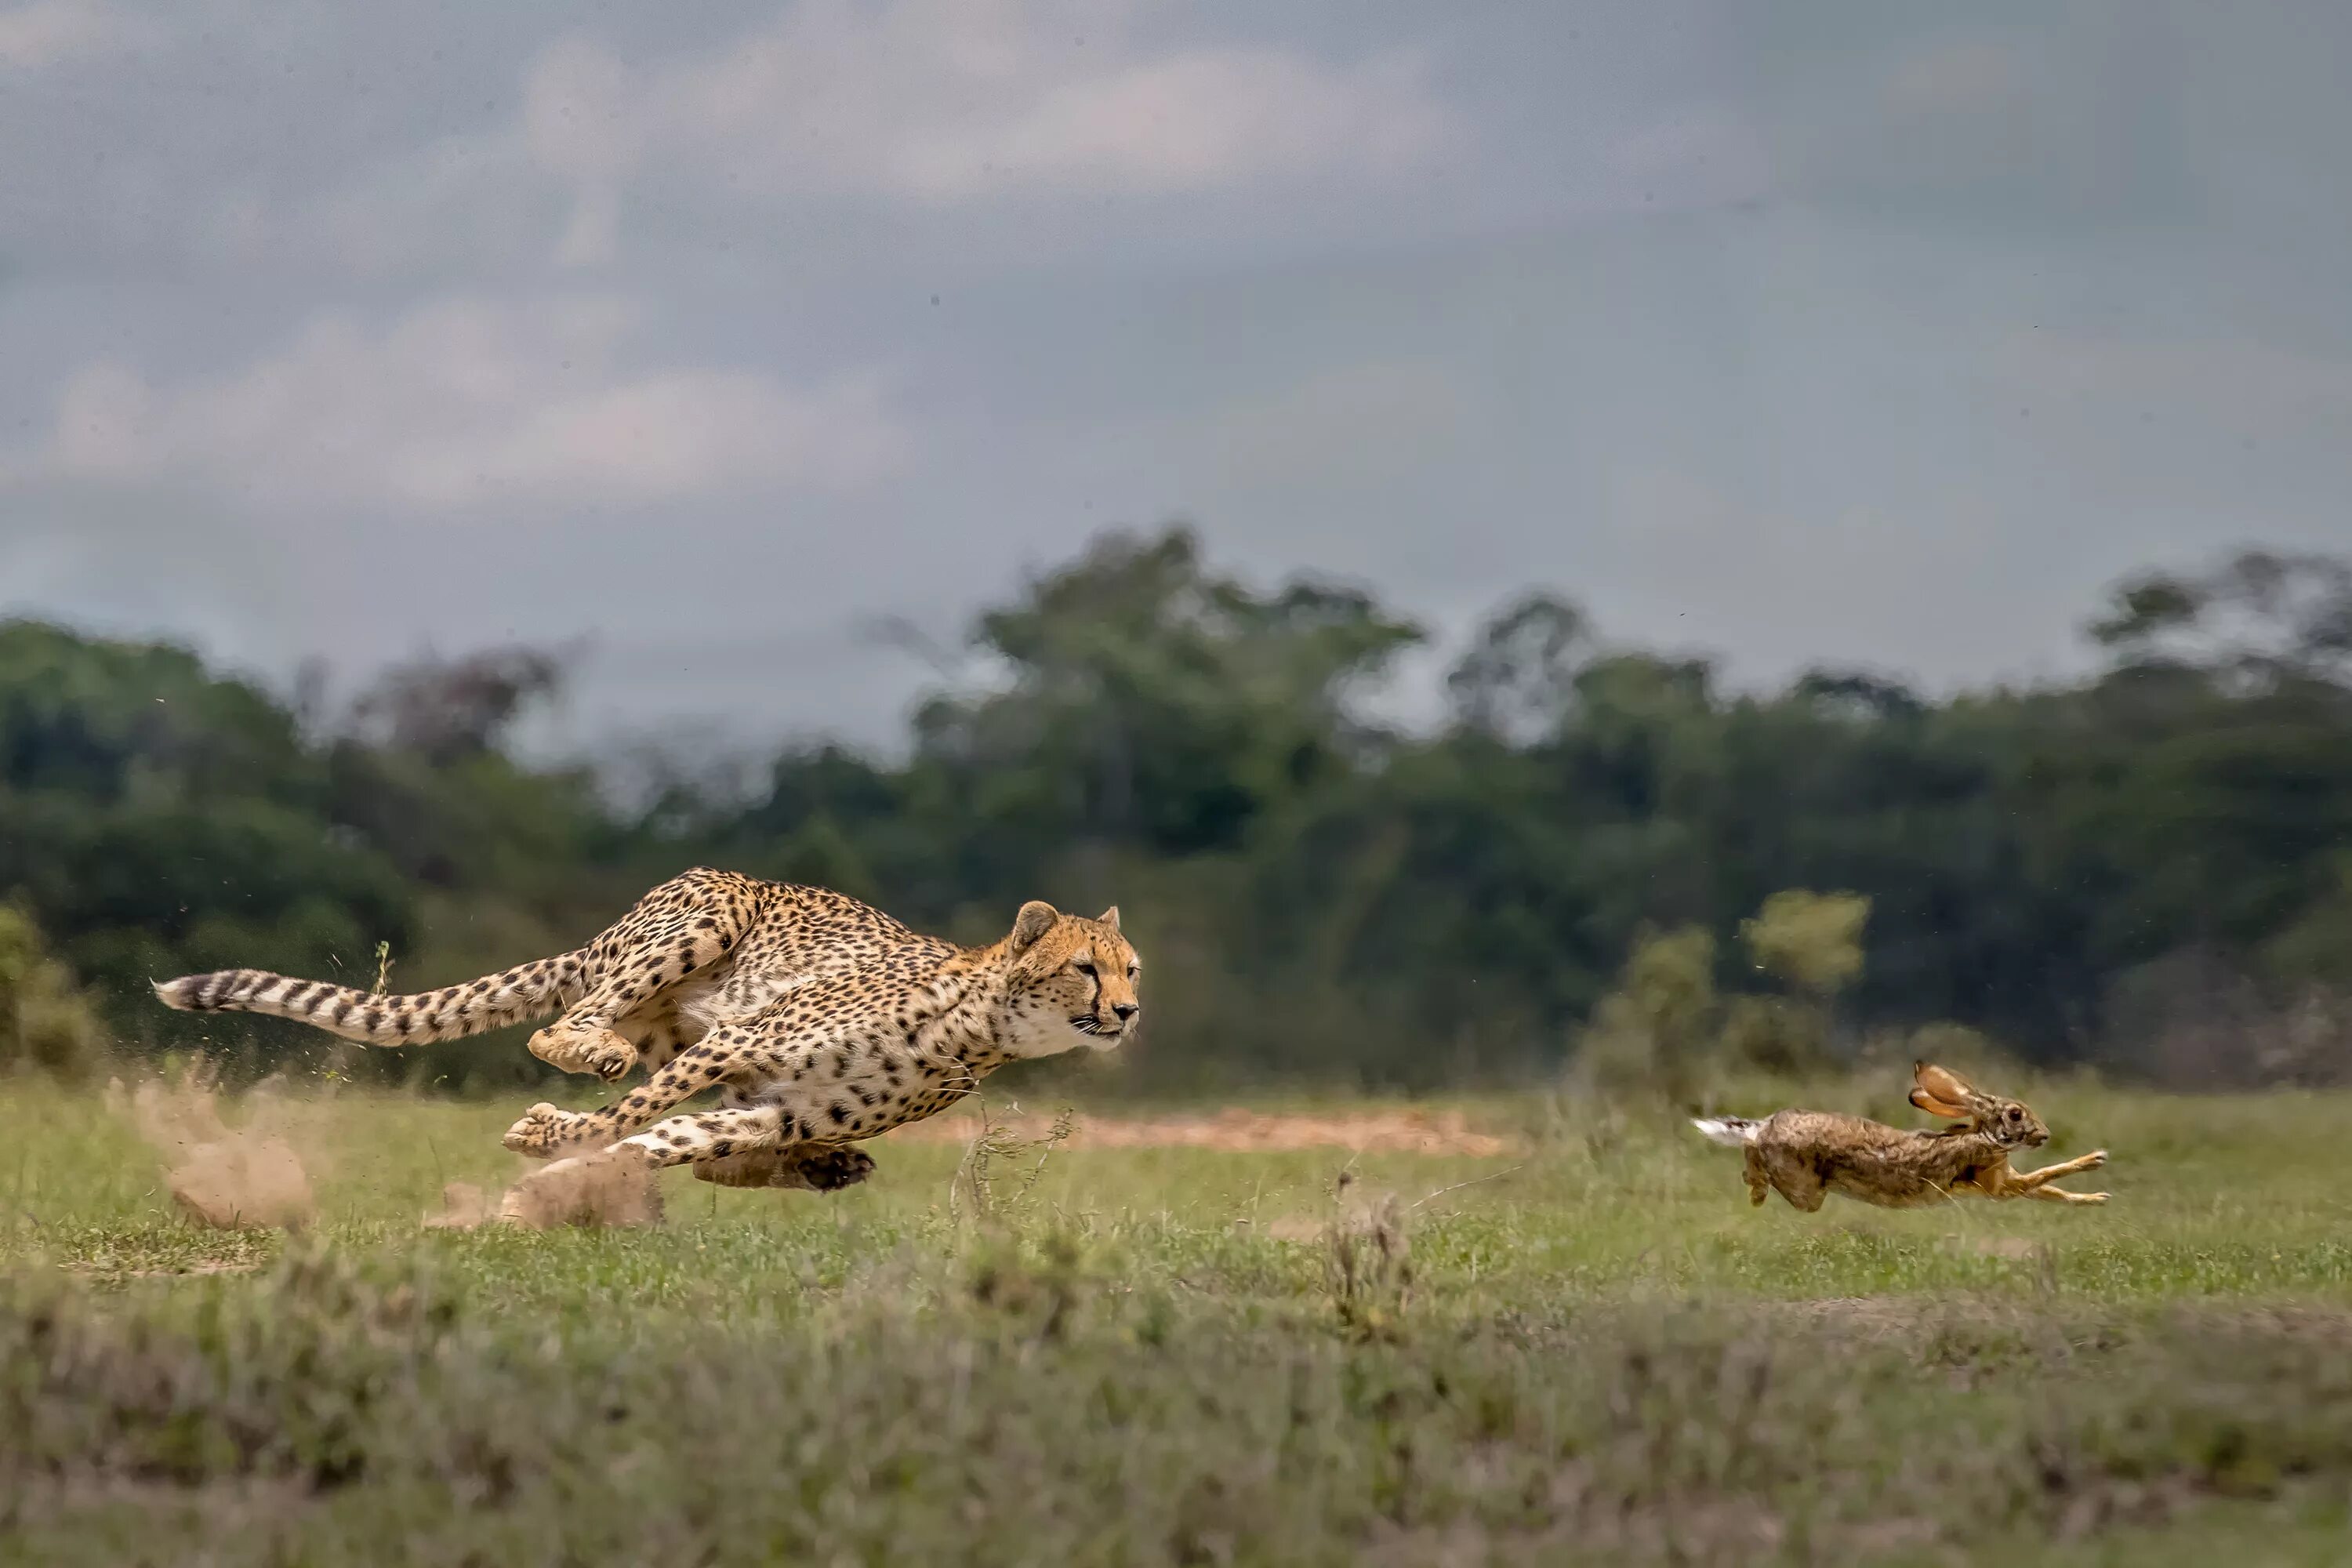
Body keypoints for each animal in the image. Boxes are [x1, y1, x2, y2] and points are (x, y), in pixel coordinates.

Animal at [151, 869, 1143, 1189]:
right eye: (1086, 966)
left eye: (1132, 968)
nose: (1130, 1012)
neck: (978, 1024)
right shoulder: (740, 1046)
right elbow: (629, 1116)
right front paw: (549, 1138)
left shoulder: (770, 1105)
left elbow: (670, 1138)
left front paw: (573, 1172)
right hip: (707, 917)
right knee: (559, 1031)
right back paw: (593, 1050)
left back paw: (827, 1167)